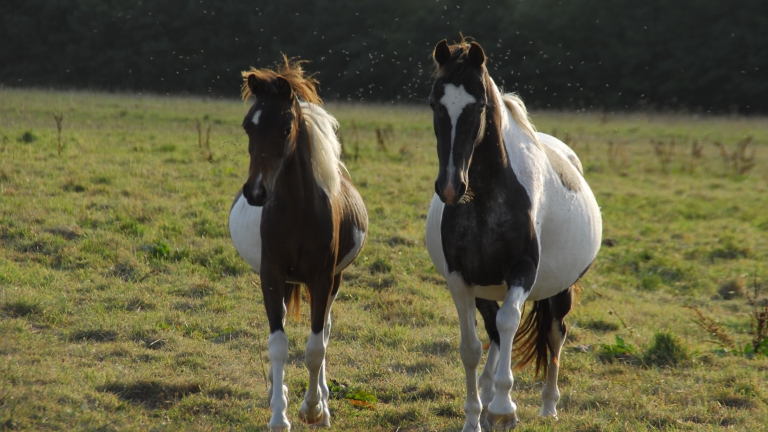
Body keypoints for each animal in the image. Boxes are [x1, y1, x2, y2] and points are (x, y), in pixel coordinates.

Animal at [230, 58, 368, 432]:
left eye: (285, 128)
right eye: (248, 127)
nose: (256, 192)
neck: (297, 210)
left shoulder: (321, 279)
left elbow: (315, 347)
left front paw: (314, 409)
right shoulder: (271, 276)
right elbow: (278, 343)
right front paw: (279, 414)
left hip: (333, 281)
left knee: (325, 331)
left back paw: (323, 400)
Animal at [426, 38, 600, 430]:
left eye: (478, 105)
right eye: (434, 103)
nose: (450, 187)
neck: (488, 196)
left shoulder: (522, 271)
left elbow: (509, 323)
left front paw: (504, 408)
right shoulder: (460, 278)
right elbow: (471, 347)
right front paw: (475, 416)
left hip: (560, 290)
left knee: (553, 333)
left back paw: (548, 405)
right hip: (487, 289)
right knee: (492, 334)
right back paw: (488, 394)